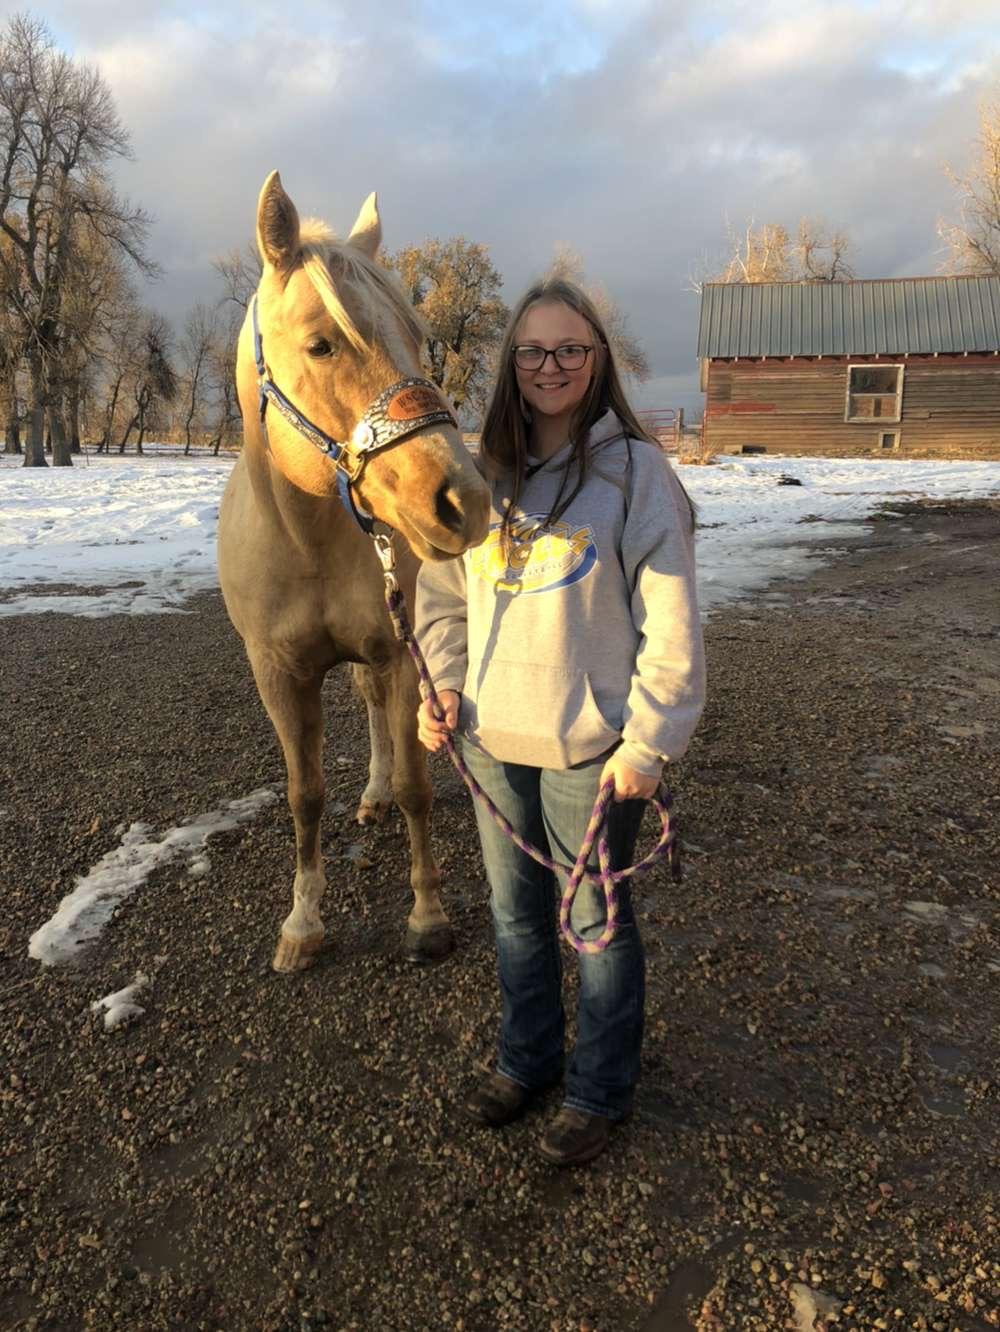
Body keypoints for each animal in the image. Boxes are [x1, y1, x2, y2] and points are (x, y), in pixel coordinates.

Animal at [218, 171, 490, 973]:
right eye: (321, 343)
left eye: (421, 338)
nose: (463, 501)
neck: (309, 542)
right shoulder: (278, 673)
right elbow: (304, 796)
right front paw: (302, 924)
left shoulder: (400, 652)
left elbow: (414, 786)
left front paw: (428, 917)